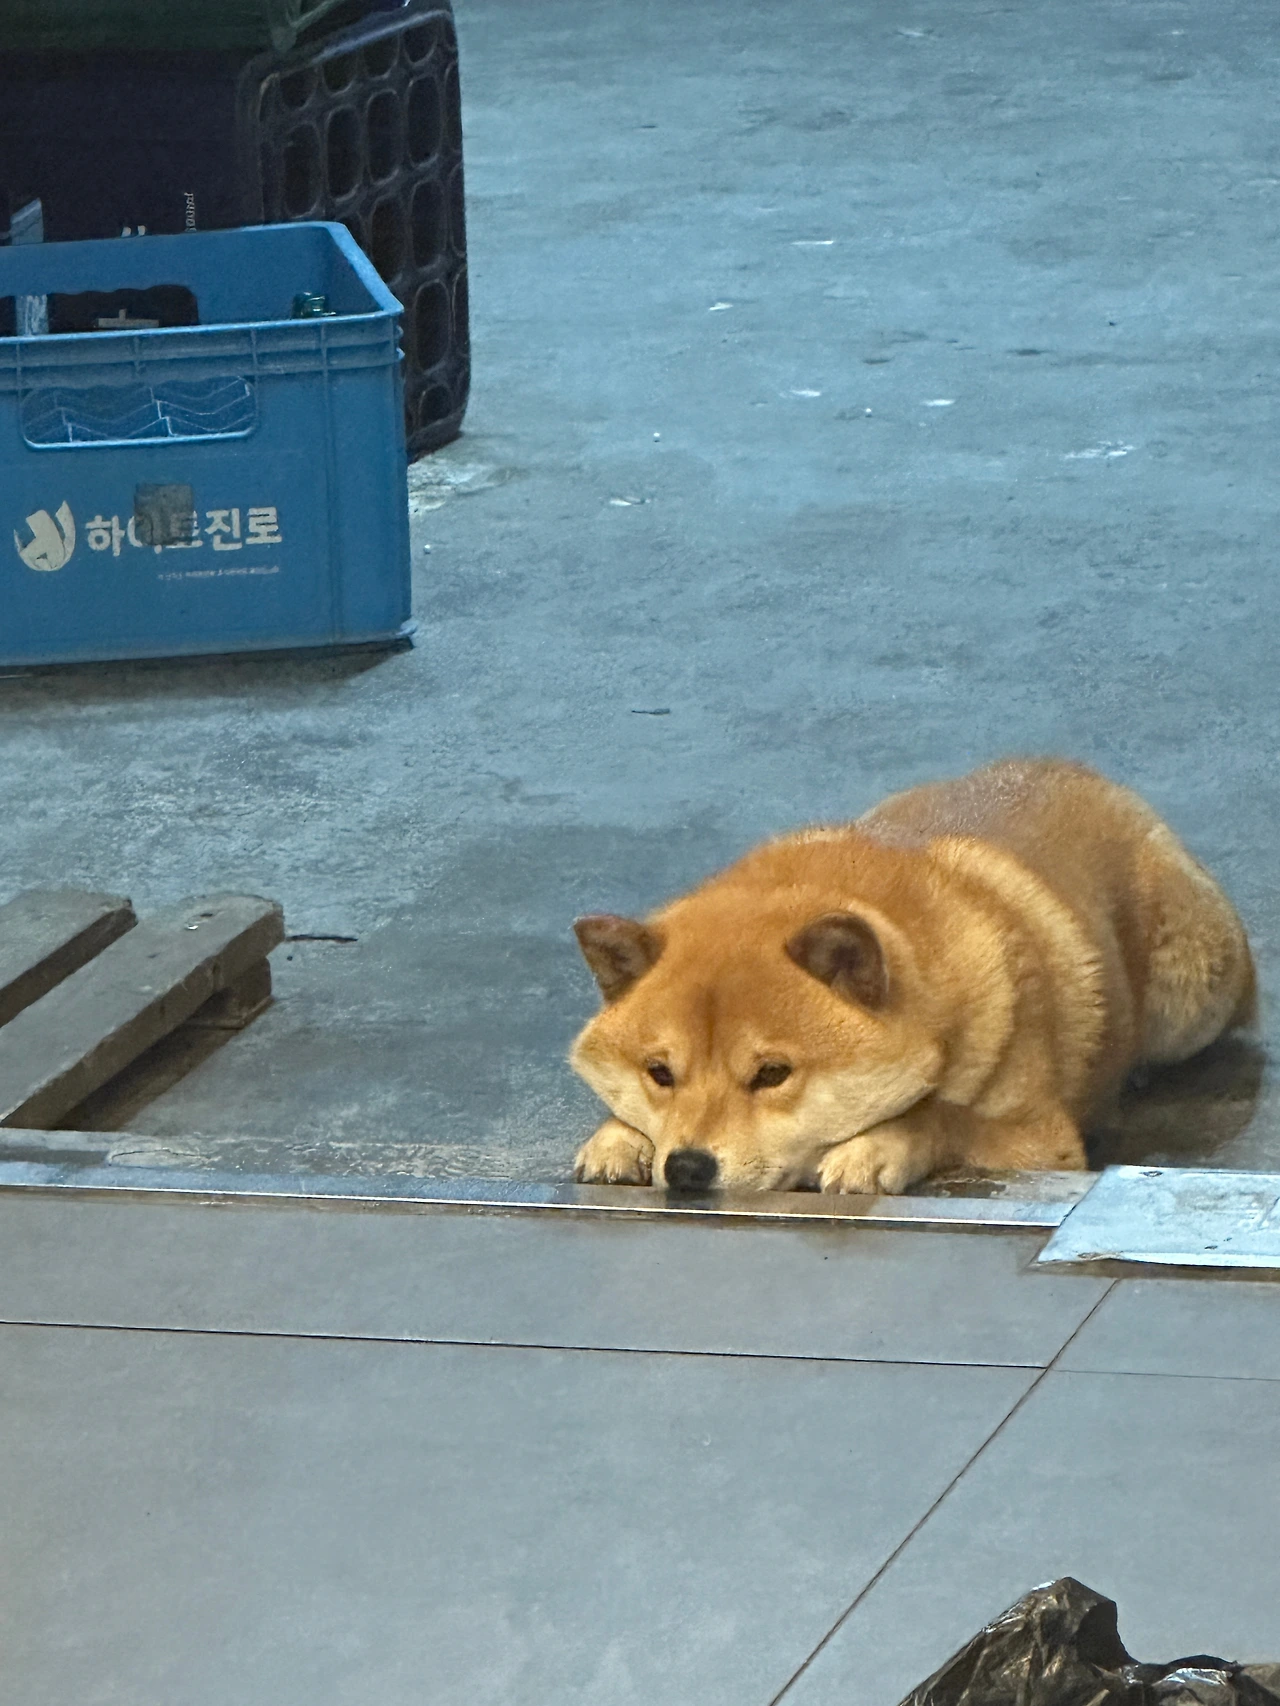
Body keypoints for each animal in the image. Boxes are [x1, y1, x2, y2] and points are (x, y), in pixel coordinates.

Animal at [568, 758, 1255, 1194]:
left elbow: (942, 1119)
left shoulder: (1041, 1143)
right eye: (660, 1073)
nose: (688, 1168)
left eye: (772, 1074)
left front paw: (877, 1147)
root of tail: (1088, 774)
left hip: (1194, 996)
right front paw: (617, 1138)